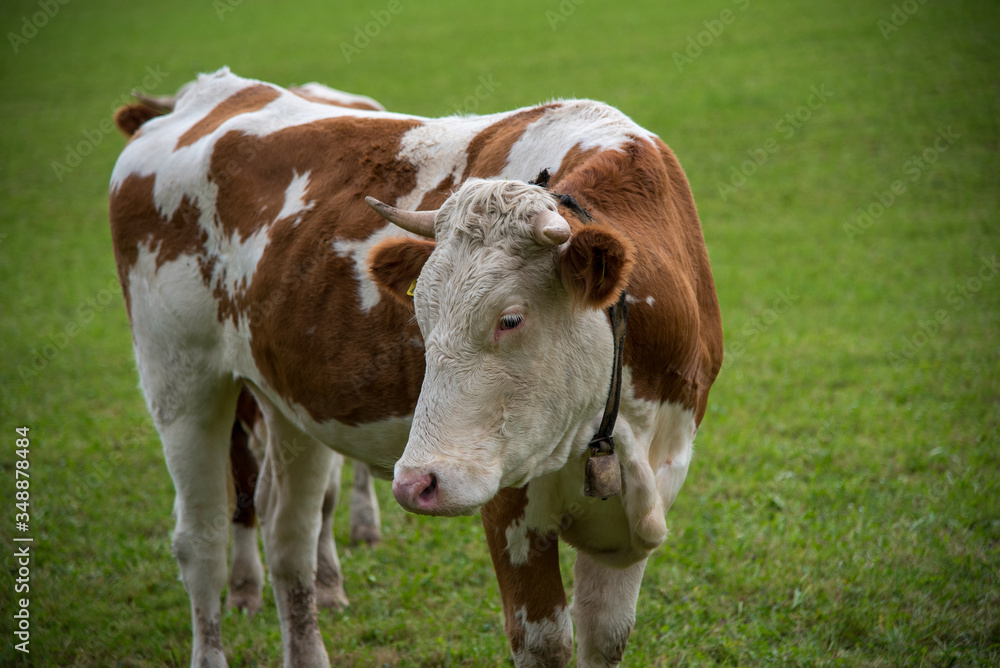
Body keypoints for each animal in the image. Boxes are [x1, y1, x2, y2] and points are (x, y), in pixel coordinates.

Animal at [107, 69, 720, 668]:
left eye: (511, 318)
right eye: (420, 315)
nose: (414, 482)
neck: (619, 430)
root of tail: (204, 95)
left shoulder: (641, 505)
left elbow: (607, 636)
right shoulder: (508, 502)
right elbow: (545, 642)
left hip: (287, 404)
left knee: (290, 536)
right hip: (183, 384)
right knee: (202, 540)